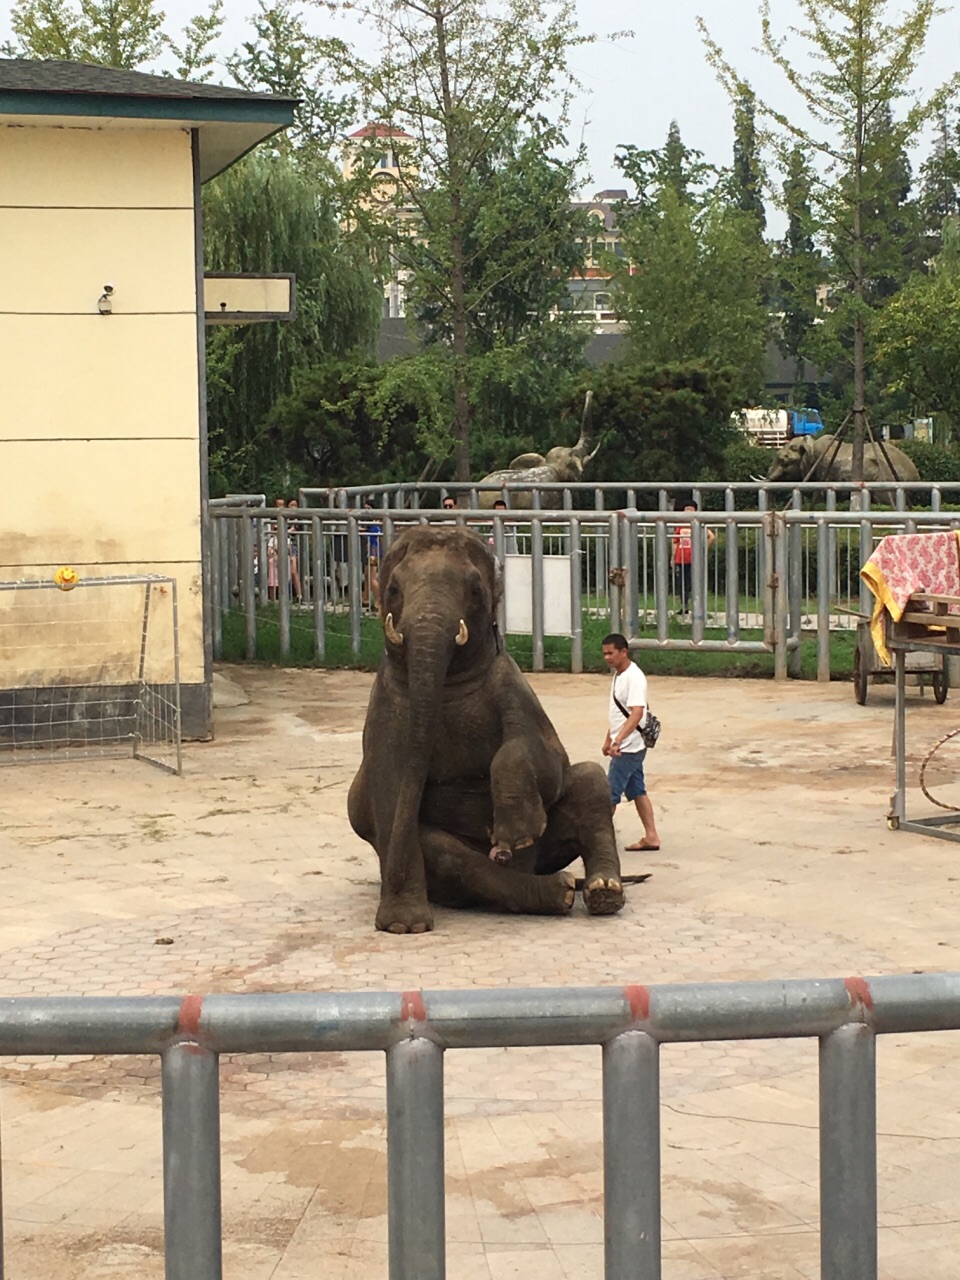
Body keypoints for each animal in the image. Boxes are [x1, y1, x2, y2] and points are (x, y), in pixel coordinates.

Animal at [350, 524, 627, 936]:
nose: (504, 845)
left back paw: (602, 891)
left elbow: (550, 762)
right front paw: (403, 927)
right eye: (394, 588)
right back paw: (556, 891)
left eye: (476, 590)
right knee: (448, 855)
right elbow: (391, 785)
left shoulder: (512, 687)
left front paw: (519, 833)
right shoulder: (384, 710)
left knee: (590, 780)